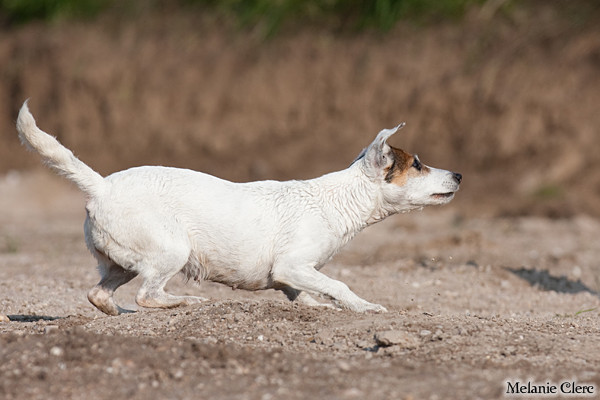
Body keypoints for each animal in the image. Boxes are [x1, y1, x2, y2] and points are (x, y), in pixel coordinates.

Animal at [16, 101, 461, 315]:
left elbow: (305, 295)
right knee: (148, 294)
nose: (458, 175)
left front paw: (316, 307)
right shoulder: (292, 265)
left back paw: (119, 311)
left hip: (119, 263)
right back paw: (186, 302)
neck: (337, 200)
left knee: (99, 294)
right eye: (418, 164)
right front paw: (364, 307)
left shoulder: (290, 276)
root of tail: (102, 185)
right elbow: (338, 285)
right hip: (172, 251)